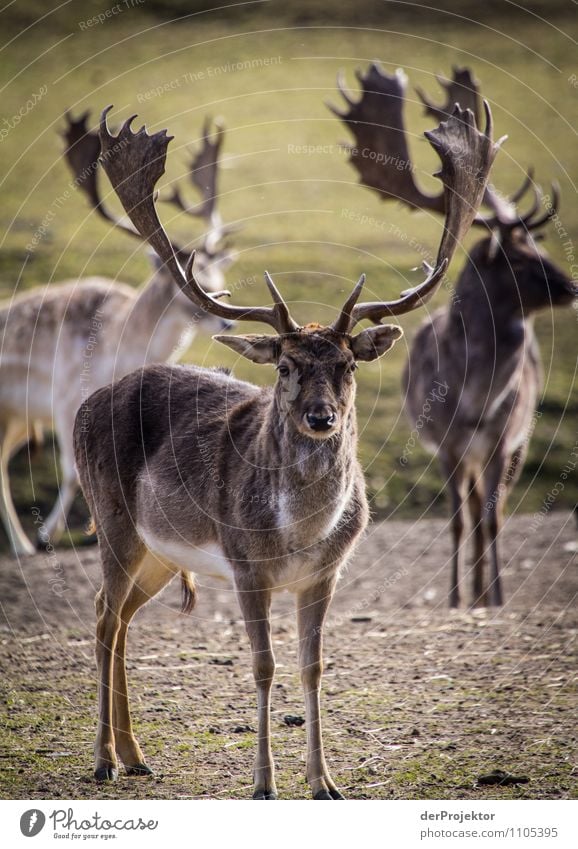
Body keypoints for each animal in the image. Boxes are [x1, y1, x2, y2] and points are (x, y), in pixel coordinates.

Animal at [0, 109, 234, 552]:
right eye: (185, 280)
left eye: (219, 274)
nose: (227, 319)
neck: (119, 346)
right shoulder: (64, 398)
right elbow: (72, 471)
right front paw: (49, 533)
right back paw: (25, 542)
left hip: (17, 419)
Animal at [71, 102, 496, 800]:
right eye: (287, 366)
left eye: (348, 363)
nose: (321, 417)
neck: (300, 534)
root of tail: (84, 405)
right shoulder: (247, 566)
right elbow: (264, 665)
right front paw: (264, 783)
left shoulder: (326, 572)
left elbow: (313, 665)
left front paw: (325, 782)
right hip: (112, 519)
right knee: (104, 616)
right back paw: (105, 757)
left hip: (160, 552)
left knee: (123, 616)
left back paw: (137, 755)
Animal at [330, 68, 572, 608]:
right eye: (518, 259)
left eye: (538, 247)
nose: (573, 287)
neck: (475, 398)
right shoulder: (444, 442)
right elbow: (459, 520)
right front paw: (457, 598)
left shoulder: (506, 437)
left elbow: (494, 518)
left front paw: (495, 597)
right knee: (473, 509)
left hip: (517, 442)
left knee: (489, 509)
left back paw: (487, 591)